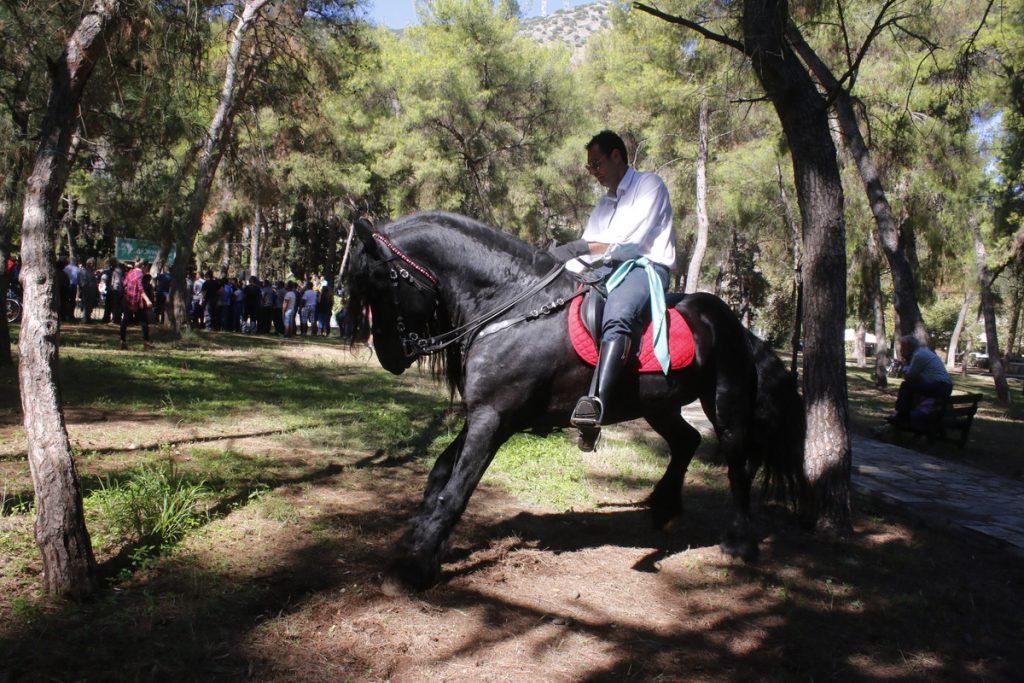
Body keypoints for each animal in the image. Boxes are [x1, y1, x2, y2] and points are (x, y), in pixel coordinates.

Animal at [348, 210, 811, 589]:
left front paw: (415, 567)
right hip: (659, 405)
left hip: (725, 403)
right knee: (687, 442)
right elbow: (439, 474)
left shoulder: (494, 419)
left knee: (738, 465)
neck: (511, 307)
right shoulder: (483, 415)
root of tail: (740, 327)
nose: (389, 358)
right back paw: (662, 508)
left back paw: (740, 543)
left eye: (381, 283)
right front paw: (420, 542)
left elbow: (455, 491)